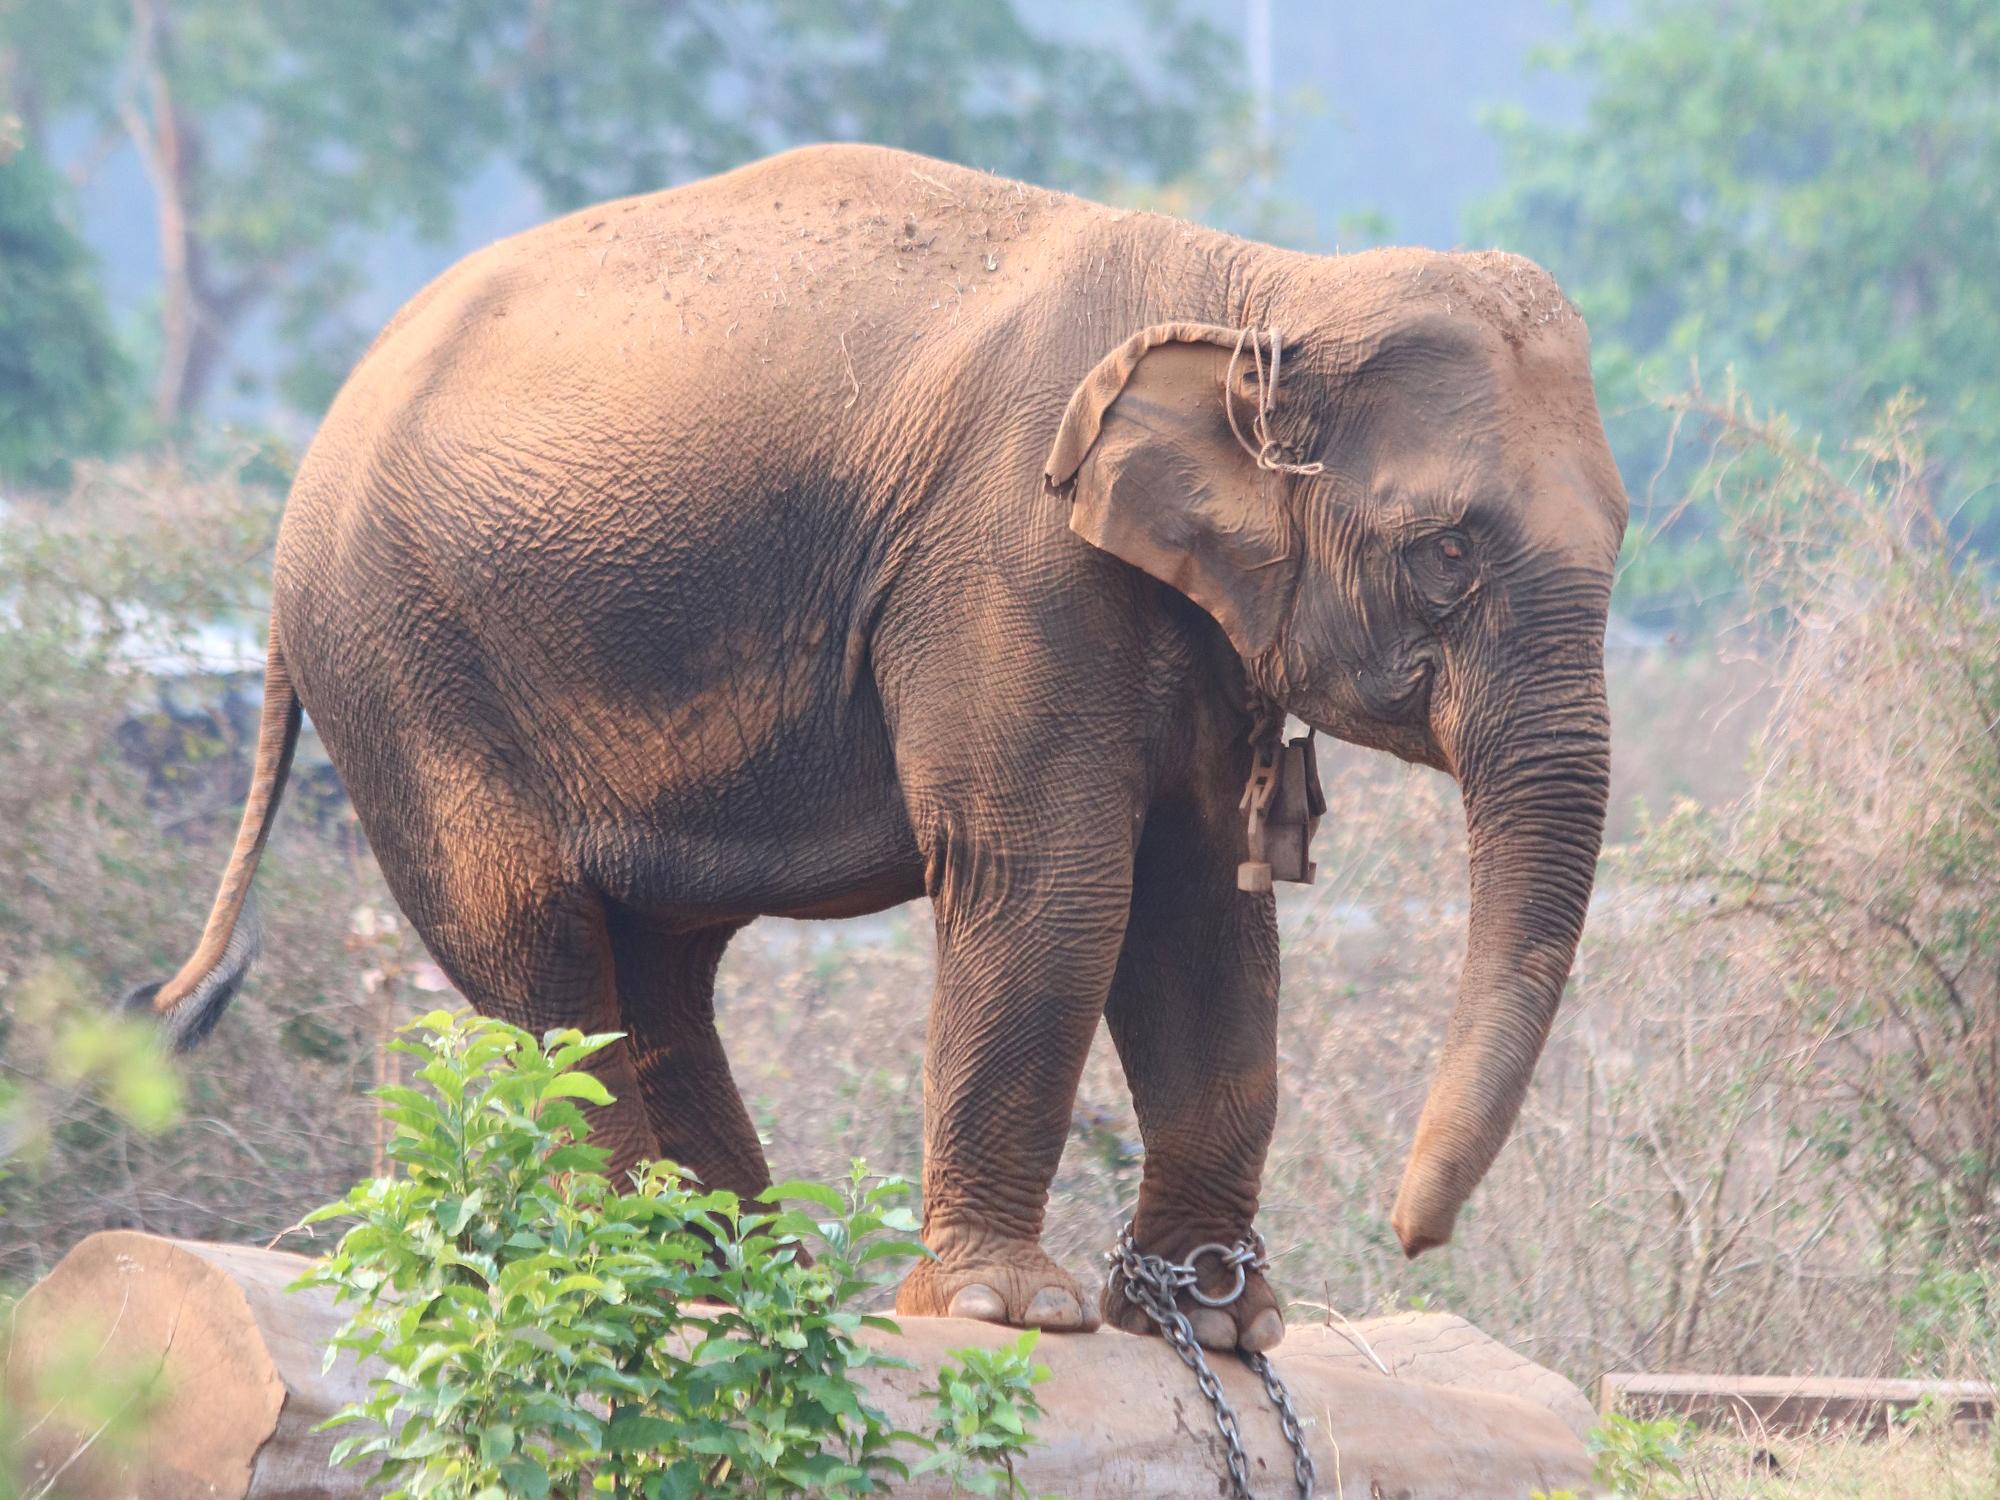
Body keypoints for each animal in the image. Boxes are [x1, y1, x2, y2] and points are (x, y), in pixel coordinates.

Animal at [137, 147, 1624, 1360]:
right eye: (1445, 554)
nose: (1408, 1238)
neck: (1260, 285)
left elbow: (1205, 913)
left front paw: (1216, 1322)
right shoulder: (1007, 561)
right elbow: (1056, 883)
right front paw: (1008, 1308)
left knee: (650, 969)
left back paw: (743, 1282)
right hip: (403, 660)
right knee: (536, 939)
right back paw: (625, 1276)